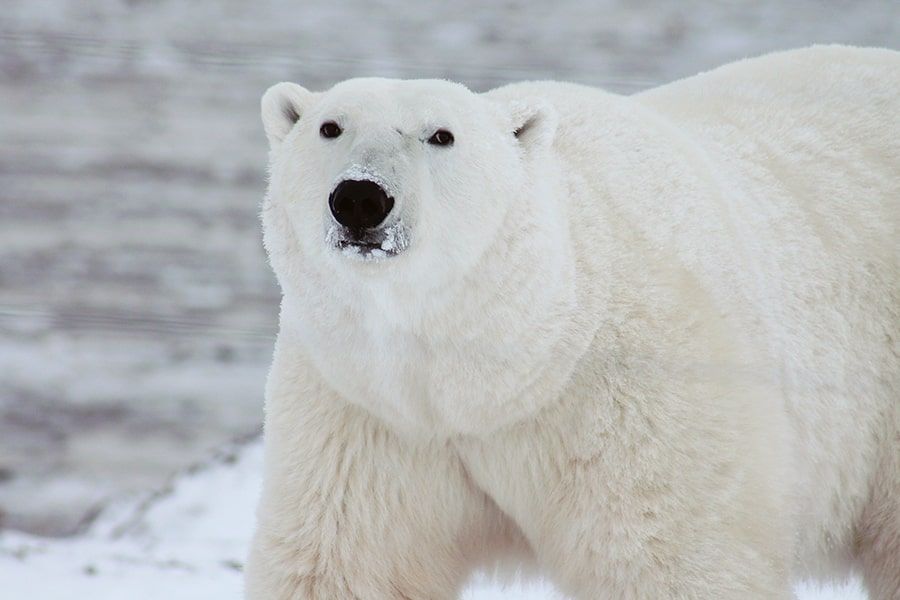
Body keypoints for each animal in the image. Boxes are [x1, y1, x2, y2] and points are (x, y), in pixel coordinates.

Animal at [246, 48, 900, 600]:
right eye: (330, 127)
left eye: (441, 135)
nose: (360, 198)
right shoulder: (367, 411)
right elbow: (347, 562)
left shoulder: (635, 400)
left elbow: (670, 559)